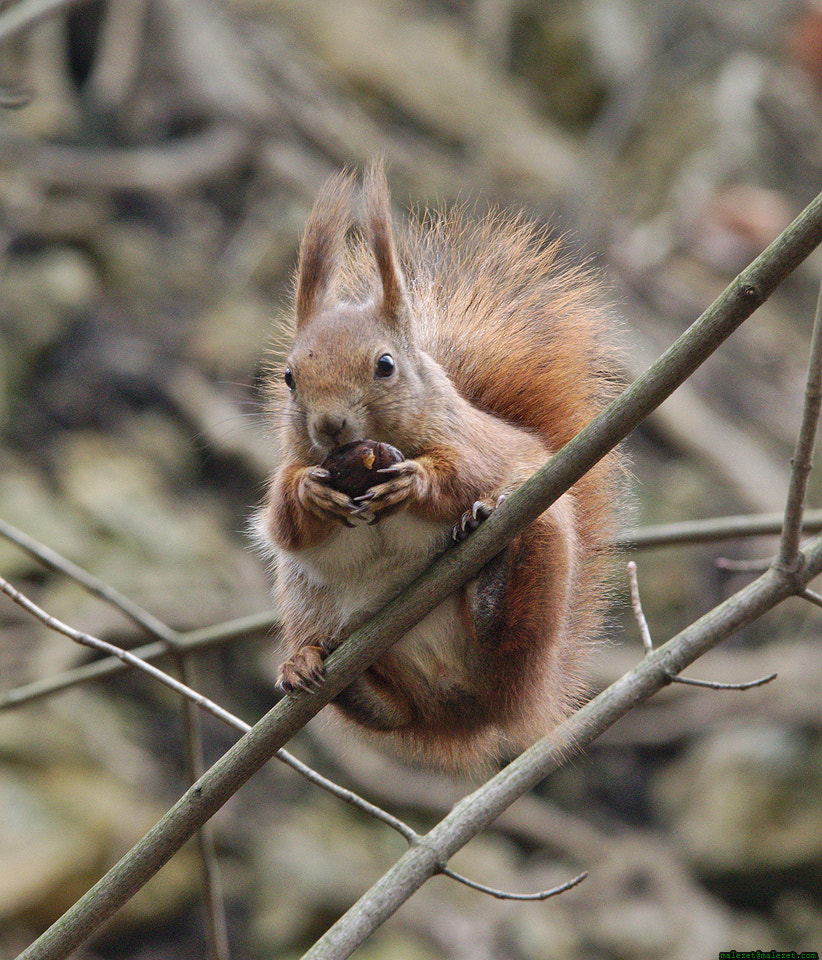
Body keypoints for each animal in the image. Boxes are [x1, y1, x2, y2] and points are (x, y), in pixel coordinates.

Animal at [255, 166, 627, 771]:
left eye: (385, 365)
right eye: (289, 377)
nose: (330, 426)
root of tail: (467, 713)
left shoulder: (473, 445)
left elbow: (465, 475)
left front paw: (415, 483)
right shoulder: (289, 475)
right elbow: (283, 523)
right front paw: (310, 492)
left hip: (543, 538)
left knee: (508, 639)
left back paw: (491, 581)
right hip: (306, 599)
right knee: (392, 712)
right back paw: (320, 670)